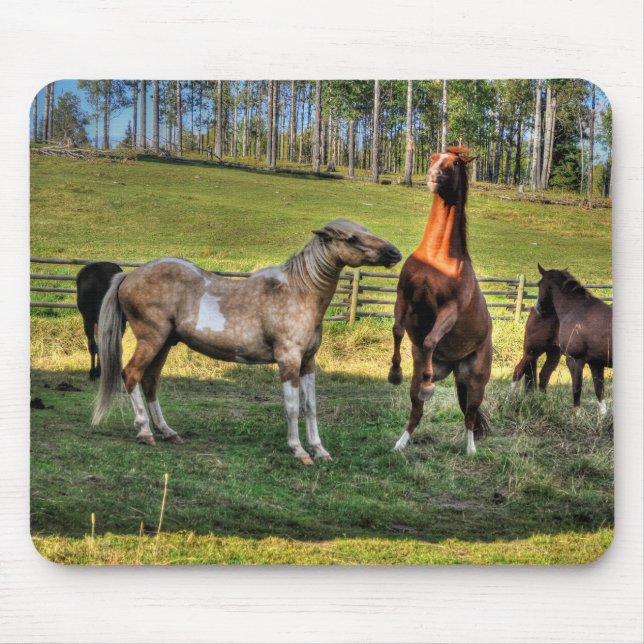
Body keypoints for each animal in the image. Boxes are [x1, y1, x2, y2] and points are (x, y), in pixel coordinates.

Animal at [92, 219, 402, 464]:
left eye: (366, 230)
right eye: (352, 238)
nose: (394, 252)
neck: (298, 292)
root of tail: (130, 275)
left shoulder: (307, 362)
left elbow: (310, 407)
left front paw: (320, 450)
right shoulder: (288, 360)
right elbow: (292, 407)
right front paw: (299, 451)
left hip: (165, 344)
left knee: (150, 382)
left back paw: (168, 432)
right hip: (151, 339)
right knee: (131, 374)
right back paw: (145, 432)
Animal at [388, 147, 492, 456]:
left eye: (455, 162)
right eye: (434, 157)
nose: (433, 176)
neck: (437, 256)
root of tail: (456, 366)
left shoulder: (449, 310)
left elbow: (430, 340)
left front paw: (427, 386)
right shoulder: (404, 296)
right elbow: (398, 331)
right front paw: (394, 373)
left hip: (476, 378)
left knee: (470, 414)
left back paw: (471, 449)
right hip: (444, 375)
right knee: (417, 409)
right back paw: (400, 443)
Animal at [535, 265, 612, 415]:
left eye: (539, 284)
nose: (538, 309)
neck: (576, 309)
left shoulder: (575, 360)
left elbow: (577, 388)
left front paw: (577, 416)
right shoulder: (596, 363)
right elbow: (599, 391)